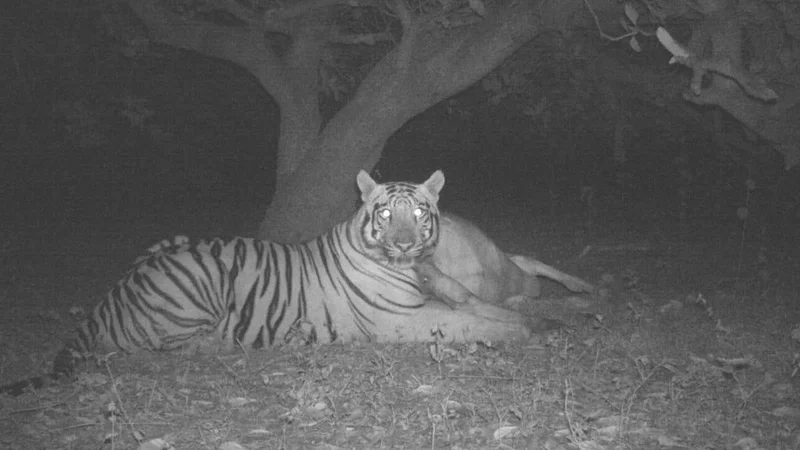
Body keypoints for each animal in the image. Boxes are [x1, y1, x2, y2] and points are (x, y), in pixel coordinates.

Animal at [1, 170, 532, 396]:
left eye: (419, 213)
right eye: (384, 213)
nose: (403, 243)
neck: (410, 266)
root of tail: (110, 295)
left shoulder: (441, 291)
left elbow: (481, 307)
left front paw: (528, 318)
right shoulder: (401, 320)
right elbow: (468, 324)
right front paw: (523, 330)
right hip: (197, 280)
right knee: (169, 346)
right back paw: (227, 343)